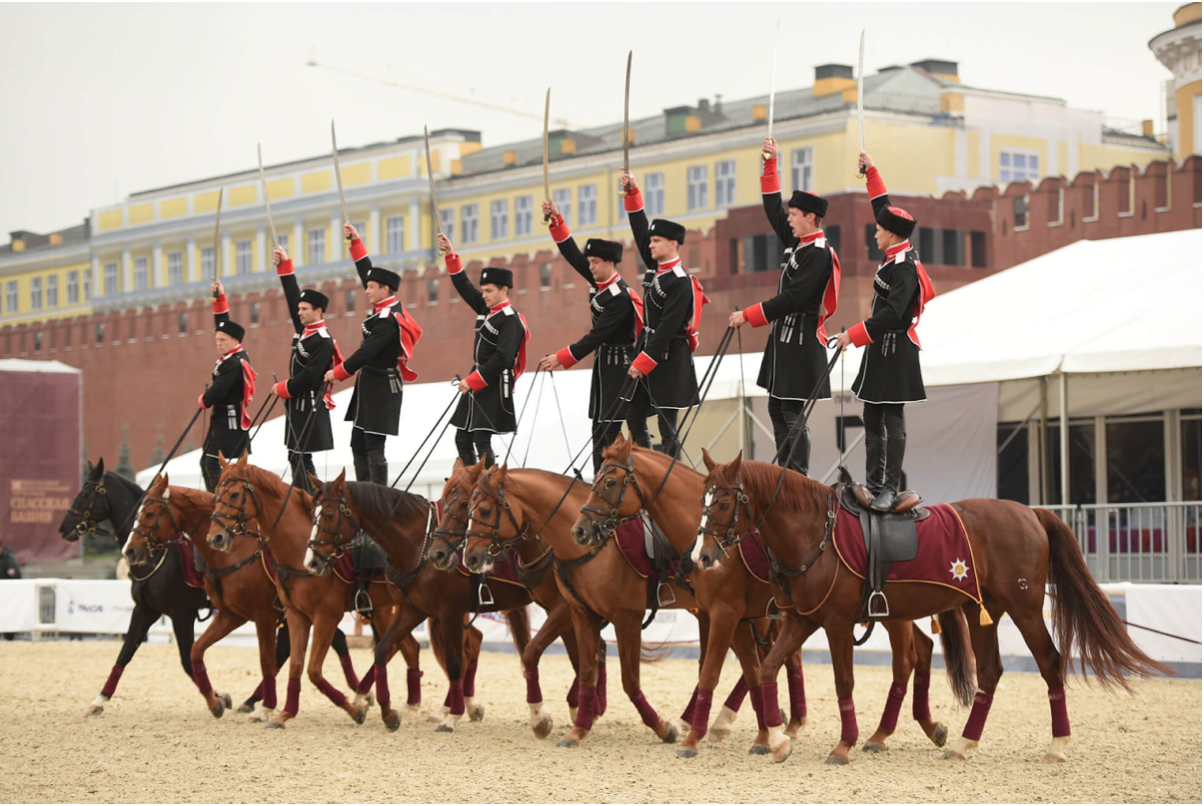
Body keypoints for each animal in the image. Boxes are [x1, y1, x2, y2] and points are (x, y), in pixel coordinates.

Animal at [205, 452, 409, 727]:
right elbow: (296, 664)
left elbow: (312, 669)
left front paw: (353, 710)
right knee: (402, 647)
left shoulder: (325, 616)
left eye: (235, 494)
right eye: (216, 493)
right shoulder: (295, 615)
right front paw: (284, 713)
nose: (215, 537)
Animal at [305, 457, 558, 737]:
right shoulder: (410, 610)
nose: (312, 561)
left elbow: (454, 662)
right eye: (312, 515)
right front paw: (388, 713)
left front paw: (452, 716)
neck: (418, 542)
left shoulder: (449, 612)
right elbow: (383, 650)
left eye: (328, 515)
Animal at [568, 433, 953, 756]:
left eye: (609, 482)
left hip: (889, 613)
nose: (581, 529)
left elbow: (712, 671)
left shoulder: (725, 614)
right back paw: (926, 727)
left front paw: (698, 737)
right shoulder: (736, 618)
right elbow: (754, 673)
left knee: (906, 660)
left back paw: (881, 734)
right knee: (922, 649)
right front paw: (766, 735)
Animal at [703, 455, 1170, 766]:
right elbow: (766, 669)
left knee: (1050, 663)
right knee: (989, 672)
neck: (816, 531)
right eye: (704, 499)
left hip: (1024, 609)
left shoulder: (835, 623)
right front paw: (776, 738)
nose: (704, 556)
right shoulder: (802, 620)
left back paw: (1056, 745)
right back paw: (963, 743)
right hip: (983, 612)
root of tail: (1029, 512)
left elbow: (843, 681)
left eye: (723, 502)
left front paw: (843, 744)